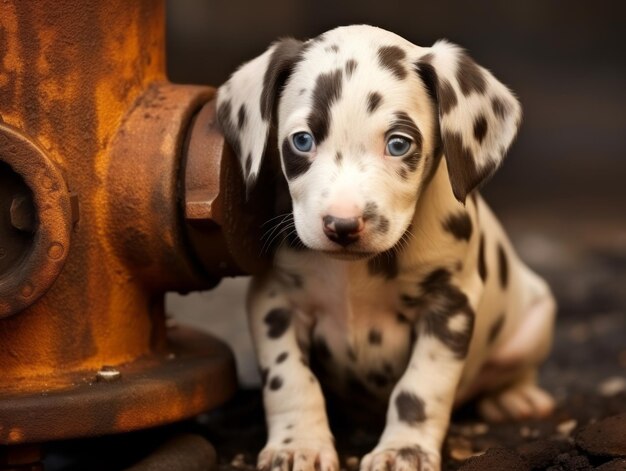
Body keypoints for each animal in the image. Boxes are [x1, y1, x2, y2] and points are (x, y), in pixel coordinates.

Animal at [217, 24, 552, 471]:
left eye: (398, 144)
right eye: (302, 141)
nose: (342, 225)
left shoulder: (448, 308)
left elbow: (420, 388)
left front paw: (403, 450)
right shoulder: (275, 301)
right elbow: (290, 379)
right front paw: (298, 444)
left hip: (537, 317)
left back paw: (514, 396)